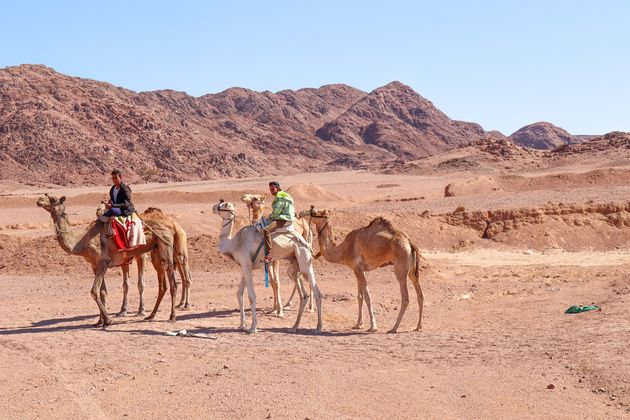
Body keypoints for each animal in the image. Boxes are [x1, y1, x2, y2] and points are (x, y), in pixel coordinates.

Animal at [37, 194, 180, 328]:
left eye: (53, 199)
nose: (39, 200)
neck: (81, 241)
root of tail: (169, 225)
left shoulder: (103, 262)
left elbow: (94, 291)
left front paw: (108, 320)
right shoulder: (94, 264)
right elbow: (102, 292)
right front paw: (100, 321)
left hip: (165, 246)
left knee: (172, 283)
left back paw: (171, 317)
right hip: (156, 251)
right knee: (163, 285)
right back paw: (151, 315)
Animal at [212, 200, 324, 334]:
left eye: (222, 205)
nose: (213, 207)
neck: (233, 243)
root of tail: (305, 241)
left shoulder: (246, 265)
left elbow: (251, 297)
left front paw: (253, 327)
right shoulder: (245, 266)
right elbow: (239, 294)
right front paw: (242, 325)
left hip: (304, 259)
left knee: (317, 292)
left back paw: (318, 327)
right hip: (294, 264)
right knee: (303, 294)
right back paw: (294, 327)